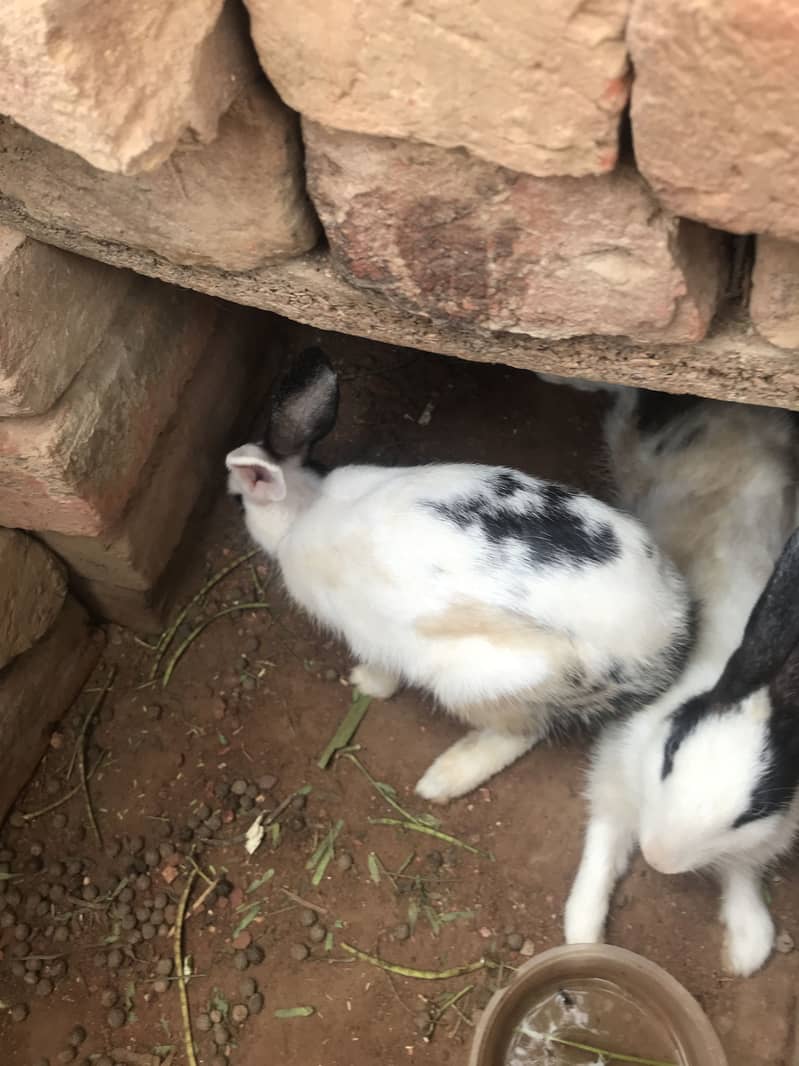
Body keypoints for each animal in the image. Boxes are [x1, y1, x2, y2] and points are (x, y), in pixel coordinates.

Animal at [225, 348, 695, 804]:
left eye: (239, 500)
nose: (237, 510)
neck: (306, 506)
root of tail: (663, 637)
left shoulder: (367, 635)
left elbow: (382, 673)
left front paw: (362, 684)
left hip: (478, 682)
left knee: (522, 734)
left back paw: (442, 780)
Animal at [564, 388, 799, 976]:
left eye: (752, 810)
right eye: (670, 754)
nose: (660, 858)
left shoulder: (760, 840)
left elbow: (742, 874)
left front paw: (748, 946)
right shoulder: (614, 776)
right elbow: (601, 846)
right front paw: (582, 932)